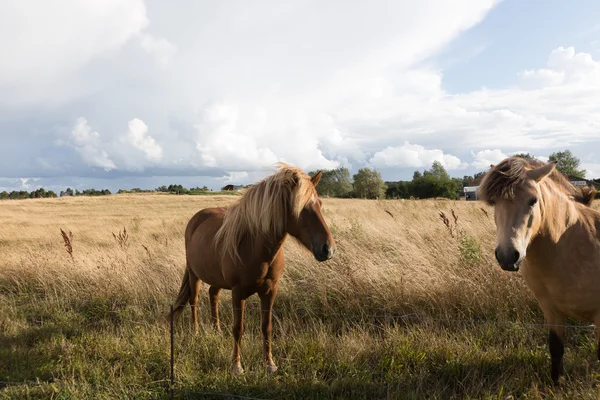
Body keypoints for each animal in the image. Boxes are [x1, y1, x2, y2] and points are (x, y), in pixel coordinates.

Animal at [171, 162, 336, 376]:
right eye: (299, 208)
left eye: (320, 205)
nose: (328, 249)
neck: (255, 248)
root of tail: (196, 219)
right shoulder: (238, 293)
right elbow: (238, 328)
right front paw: (236, 366)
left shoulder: (270, 290)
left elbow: (266, 326)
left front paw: (270, 364)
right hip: (194, 274)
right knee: (195, 300)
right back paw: (196, 332)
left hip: (216, 279)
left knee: (213, 295)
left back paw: (217, 331)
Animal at [478, 156, 600, 384]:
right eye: (494, 202)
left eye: (533, 200)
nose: (508, 256)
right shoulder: (552, 311)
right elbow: (556, 348)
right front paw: (557, 384)